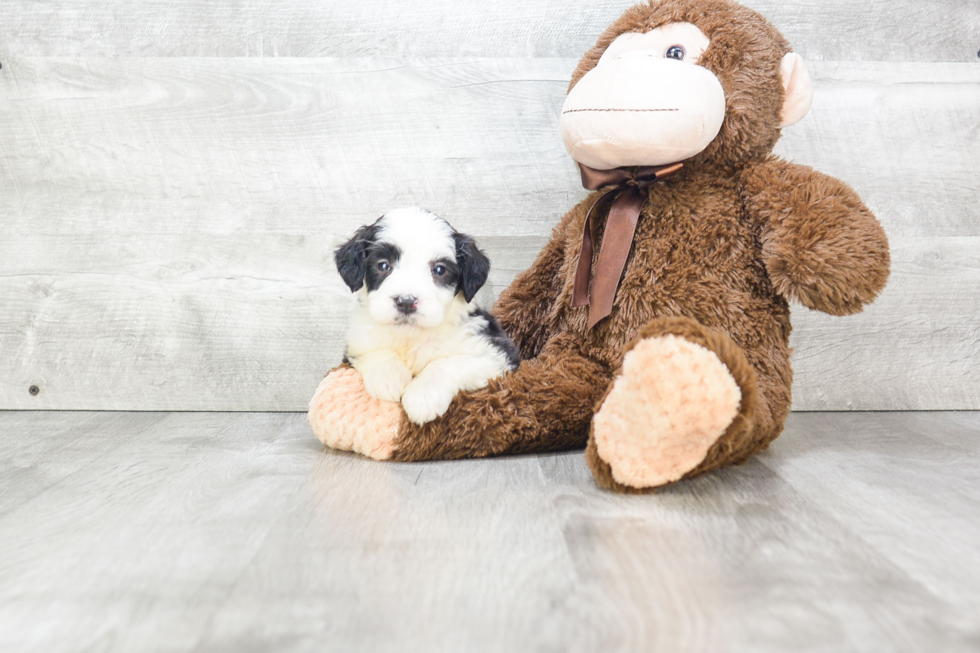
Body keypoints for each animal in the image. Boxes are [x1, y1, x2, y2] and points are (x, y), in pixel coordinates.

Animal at [334, 206, 520, 426]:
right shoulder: (356, 343)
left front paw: (423, 396)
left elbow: (447, 363)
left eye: (439, 269)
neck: (412, 337)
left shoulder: (496, 353)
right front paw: (388, 377)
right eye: (383, 265)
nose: (406, 301)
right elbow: (375, 351)